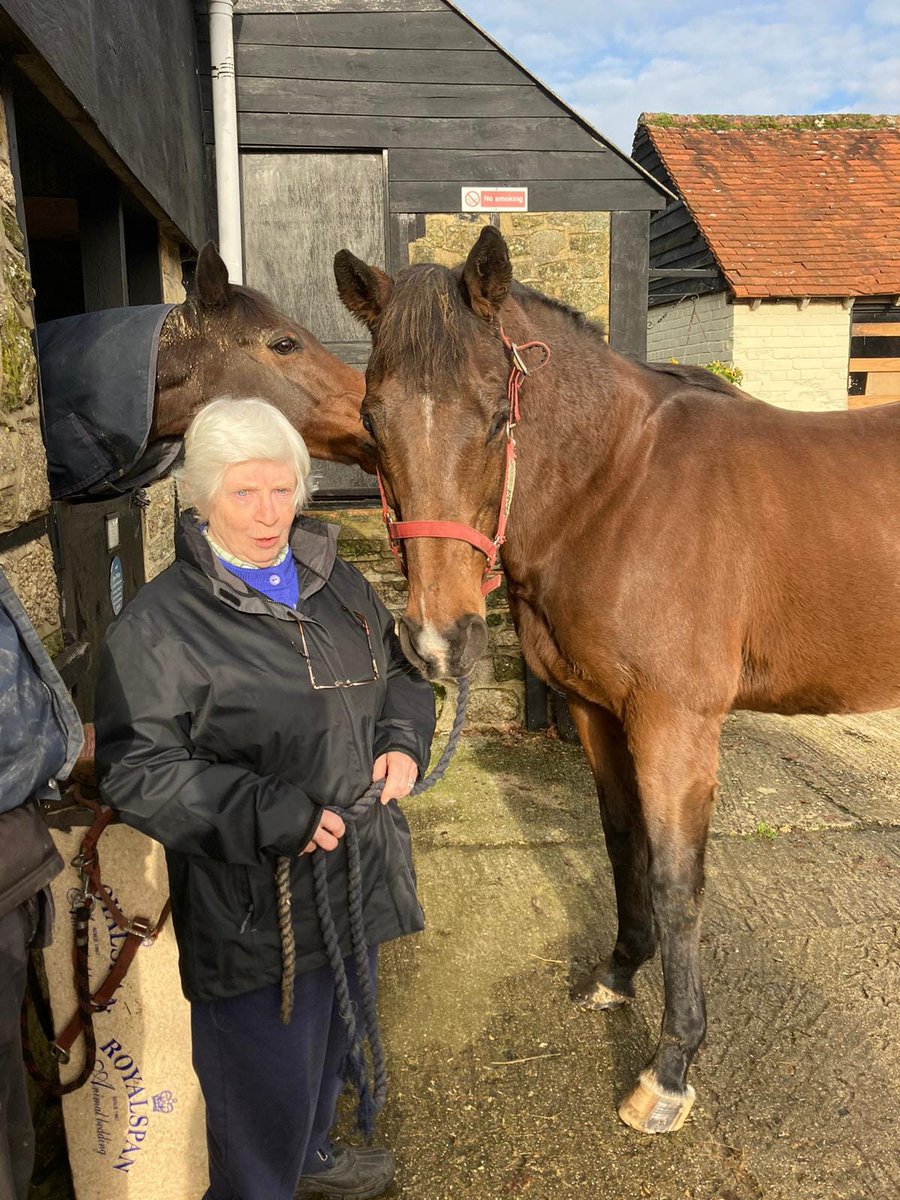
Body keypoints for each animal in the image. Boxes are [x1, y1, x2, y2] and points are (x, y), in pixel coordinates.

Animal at [333, 225, 900, 1134]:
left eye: (498, 418)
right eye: (369, 419)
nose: (436, 641)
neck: (619, 488)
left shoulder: (675, 723)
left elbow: (676, 877)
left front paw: (670, 1069)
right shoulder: (598, 710)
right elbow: (620, 841)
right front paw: (619, 972)